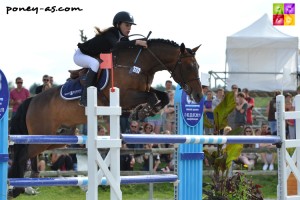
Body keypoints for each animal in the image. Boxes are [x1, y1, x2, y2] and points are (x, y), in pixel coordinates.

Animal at [8, 38, 203, 198]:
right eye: (189, 66)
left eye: (198, 67)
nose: (198, 96)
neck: (138, 65)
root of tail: (33, 100)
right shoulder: (124, 96)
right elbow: (152, 97)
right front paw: (140, 112)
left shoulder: (142, 91)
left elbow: (161, 96)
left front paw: (142, 111)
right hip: (42, 133)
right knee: (22, 154)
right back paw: (16, 188)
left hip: (56, 137)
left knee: (30, 152)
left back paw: (30, 179)